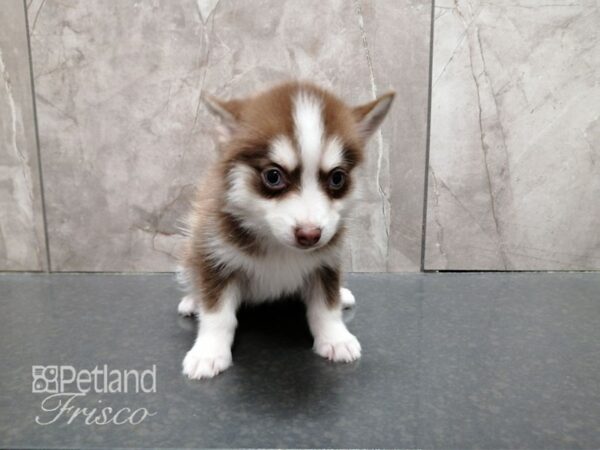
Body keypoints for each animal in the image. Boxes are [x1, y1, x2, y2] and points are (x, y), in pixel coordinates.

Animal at [178, 81, 394, 380]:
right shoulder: (215, 257)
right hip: (192, 248)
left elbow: (326, 306)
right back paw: (192, 300)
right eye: (273, 176)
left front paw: (335, 337)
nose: (309, 234)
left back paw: (343, 295)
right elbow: (217, 314)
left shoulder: (326, 262)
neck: (277, 245)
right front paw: (209, 352)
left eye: (337, 178)